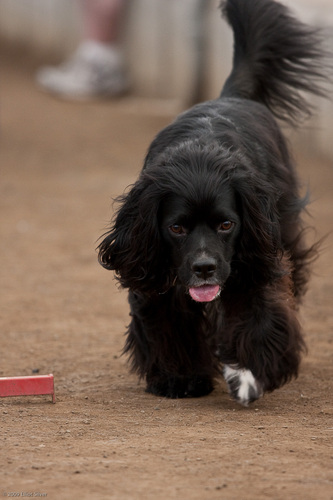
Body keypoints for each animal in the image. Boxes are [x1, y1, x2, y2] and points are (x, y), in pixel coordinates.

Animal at [98, 0, 326, 404]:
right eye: (176, 227)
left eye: (226, 224)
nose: (204, 267)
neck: (198, 160)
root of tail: (229, 94)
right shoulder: (155, 271)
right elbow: (167, 323)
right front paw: (179, 378)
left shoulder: (253, 261)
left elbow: (259, 317)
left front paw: (251, 371)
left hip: (282, 230)